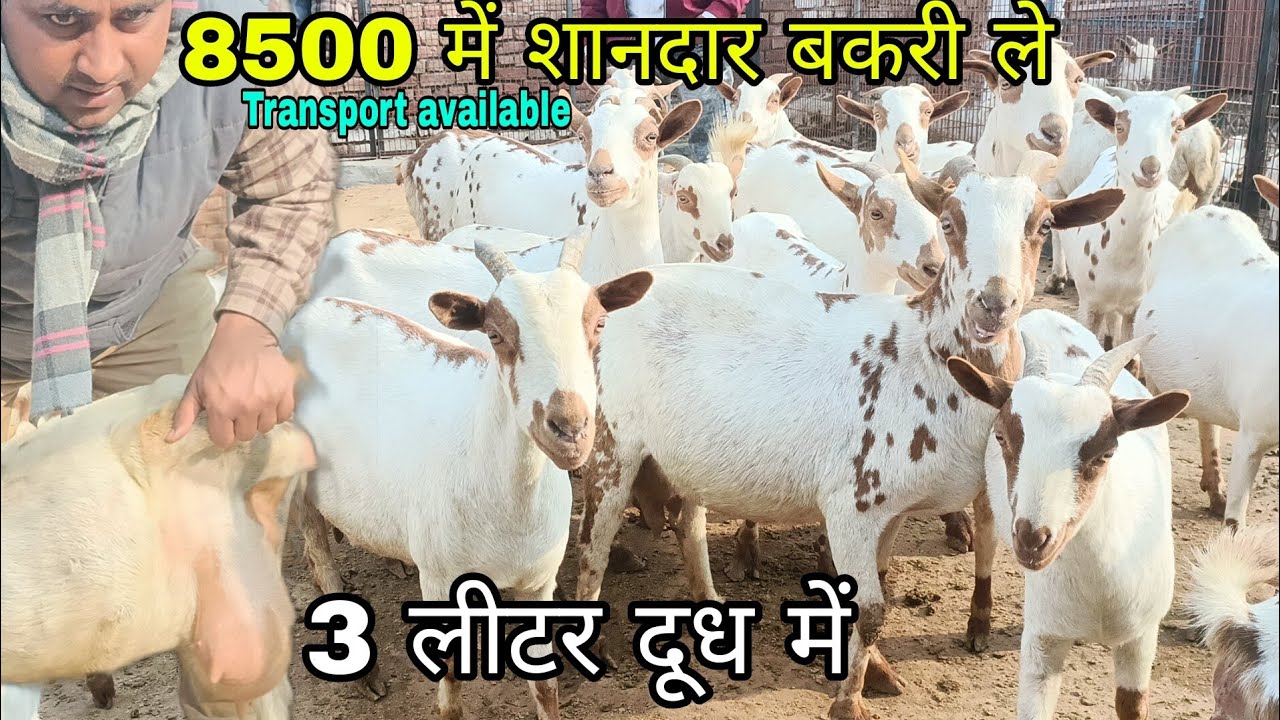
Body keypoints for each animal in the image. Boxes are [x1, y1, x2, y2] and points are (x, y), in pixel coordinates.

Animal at [281, 235, 653, 715]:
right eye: (494, 334)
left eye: (600, 324)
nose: (570, 429)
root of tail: (308, 313)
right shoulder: (440, 579)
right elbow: (451, 692)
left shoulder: (539, 580)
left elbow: (546, 688)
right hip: (299, 477)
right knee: (318, 558)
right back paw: (365, 677)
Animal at [569, 153, 1124, 719]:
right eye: (949, 223)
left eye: (1044, 227)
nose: (993, 303)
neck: (923, 356)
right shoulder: (852, 503)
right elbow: (873, 609)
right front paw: (849, 700)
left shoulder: (892, 510)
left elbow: (875, 593)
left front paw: (874, 671)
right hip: (613, 443)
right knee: (593, 545)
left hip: (683, 454)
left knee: (689, 524)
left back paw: (709, 602)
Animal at [948, 333, 1189, 720]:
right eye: (1002, 437)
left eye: (1106, 453)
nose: (1033, 538)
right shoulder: (1044, 636)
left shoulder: (1141, 636)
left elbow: (1131, 705)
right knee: (985, 542)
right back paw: (979, 626)